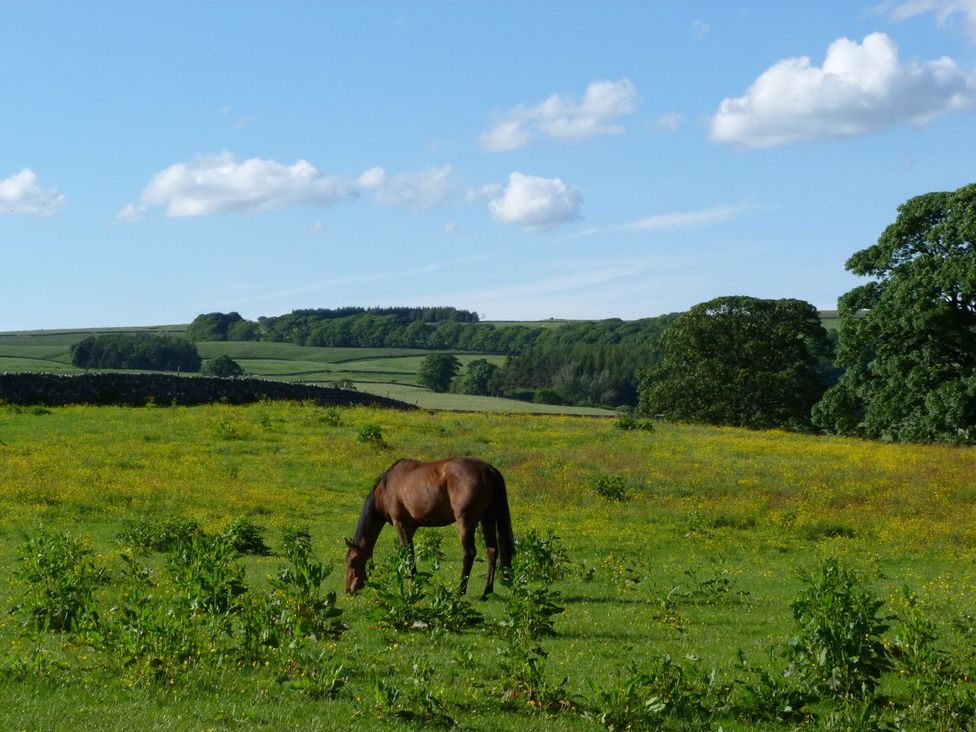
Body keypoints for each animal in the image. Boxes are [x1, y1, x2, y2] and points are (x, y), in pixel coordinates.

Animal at [344, 457, 514, 598]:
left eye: (351, 562)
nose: (348, 590)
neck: (386, 488)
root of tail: (489, 470)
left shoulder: (401, 524)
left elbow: (408, 555)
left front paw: (413, 584)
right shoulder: (410, 527)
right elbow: (406, 554)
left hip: (466, 522)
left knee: (469, 553)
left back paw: (460, 590)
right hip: (487, 520)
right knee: (492, 551)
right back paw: (487, 591)